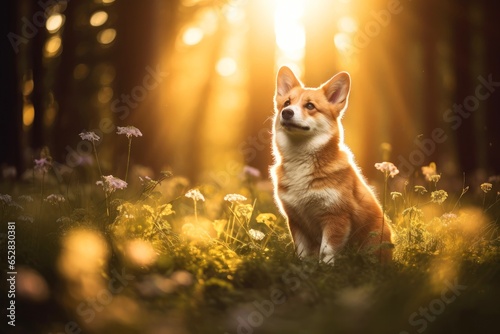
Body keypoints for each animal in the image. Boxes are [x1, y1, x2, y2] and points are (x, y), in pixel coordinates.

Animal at [272, 65, 392, 264]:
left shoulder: (336, 217)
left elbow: (327, 252)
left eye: (310, 106)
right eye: (287, 102)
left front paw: (325, 270)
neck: (300, 160)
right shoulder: (296, 221)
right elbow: (302, 254)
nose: (287, 112)